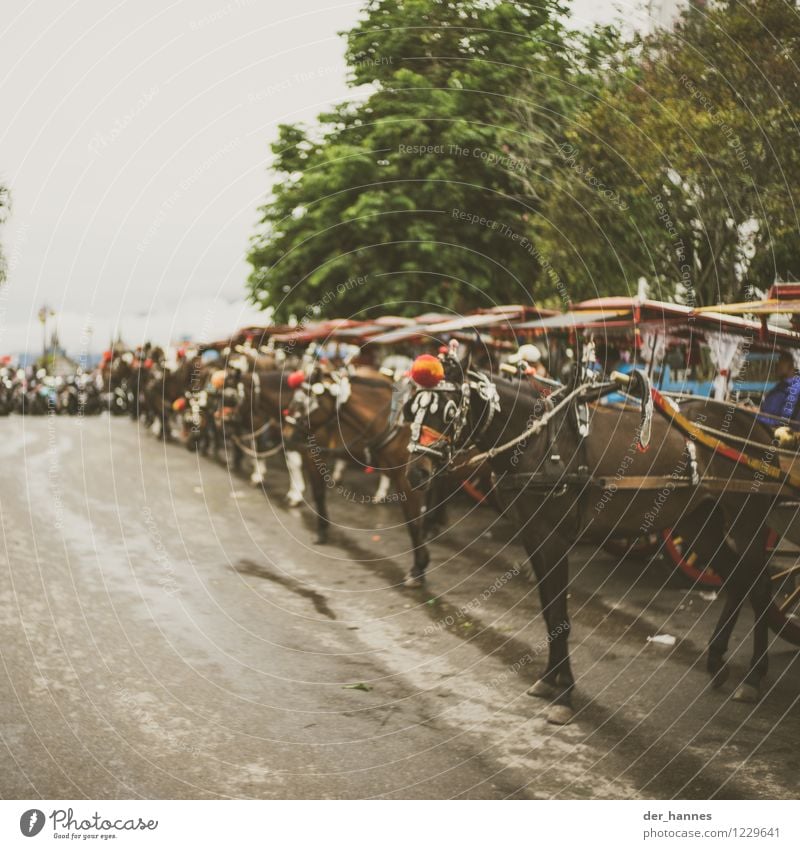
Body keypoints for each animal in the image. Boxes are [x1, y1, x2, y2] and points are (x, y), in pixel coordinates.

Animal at [404, 348, 780, 724]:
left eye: (449, 411)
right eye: (410, 408)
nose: (415, 473)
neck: (538, 442)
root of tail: (757, 426)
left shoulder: (554, 541)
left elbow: (560, 616)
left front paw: (565, 694)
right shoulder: (533, 537)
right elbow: (548, 611)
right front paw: (548, 679)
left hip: (747, 519)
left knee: (760, 585)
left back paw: (754, 677)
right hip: (698, 523)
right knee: (738, 578)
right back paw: (717, 661)